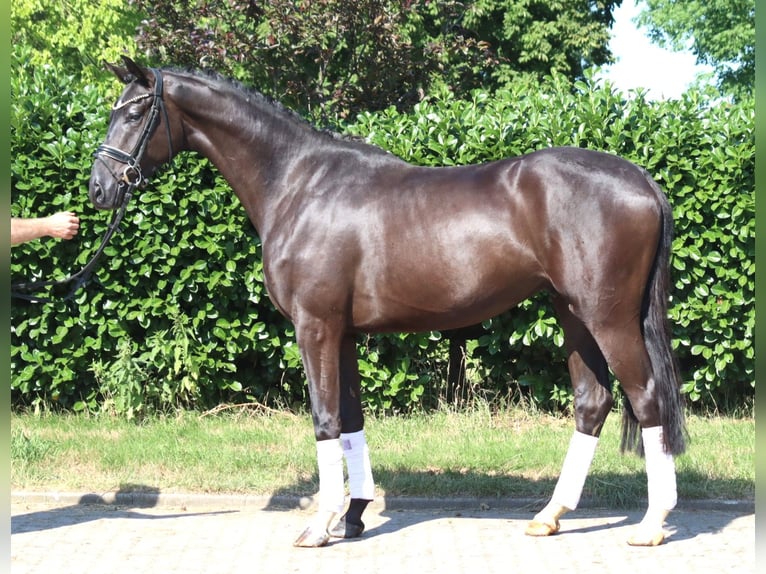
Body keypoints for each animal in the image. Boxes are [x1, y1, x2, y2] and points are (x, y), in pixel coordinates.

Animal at [89, 57, 686, 548]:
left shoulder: (316, 327)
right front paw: (353, 515)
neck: (299, 184)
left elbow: (325, 418)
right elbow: (352, 417)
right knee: (593, 403)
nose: (99, 188)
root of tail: (641, 180)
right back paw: (550, 514)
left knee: (647, 397)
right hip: (573, 314)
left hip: (609, 318)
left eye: (136, 110)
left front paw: (319, 525)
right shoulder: (345, 334)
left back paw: (652, 524)